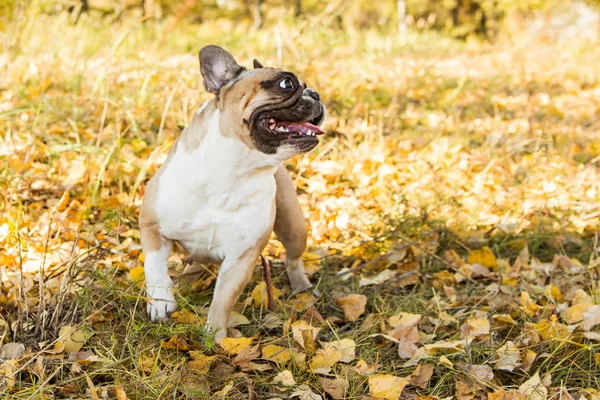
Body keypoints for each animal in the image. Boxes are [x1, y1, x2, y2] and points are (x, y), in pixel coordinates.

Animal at [140, 46, 326, 340]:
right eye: (287, 83)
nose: (315, 93)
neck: (233, 172)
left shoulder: (242, 257)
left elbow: (224, 299)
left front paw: (215, 337)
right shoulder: (152, 226)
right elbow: (154, 266)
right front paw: (161, 302)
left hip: (293, 225)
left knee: (293, 258)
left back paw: (300, 286)